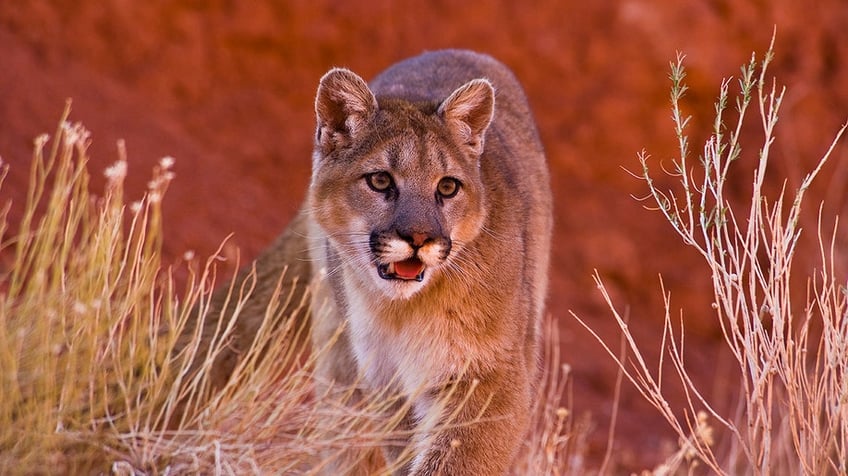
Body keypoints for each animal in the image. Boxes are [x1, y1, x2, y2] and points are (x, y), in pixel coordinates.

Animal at [190, 50, 552, 474]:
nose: (419, 238)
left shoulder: (489, 379)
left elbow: (454, 457)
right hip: (341, 367)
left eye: (447, 187)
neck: (405, 311)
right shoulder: (387, 386)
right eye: (380, 181)